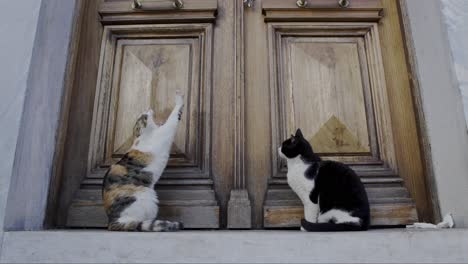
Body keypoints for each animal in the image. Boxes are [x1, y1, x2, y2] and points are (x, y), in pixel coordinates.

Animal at [102, 91, 185, 231]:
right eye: (143, 116)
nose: (149, 108)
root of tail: (112, 222)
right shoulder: (164, 132)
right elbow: (172, 119)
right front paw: (179, 99)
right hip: (149, 198)